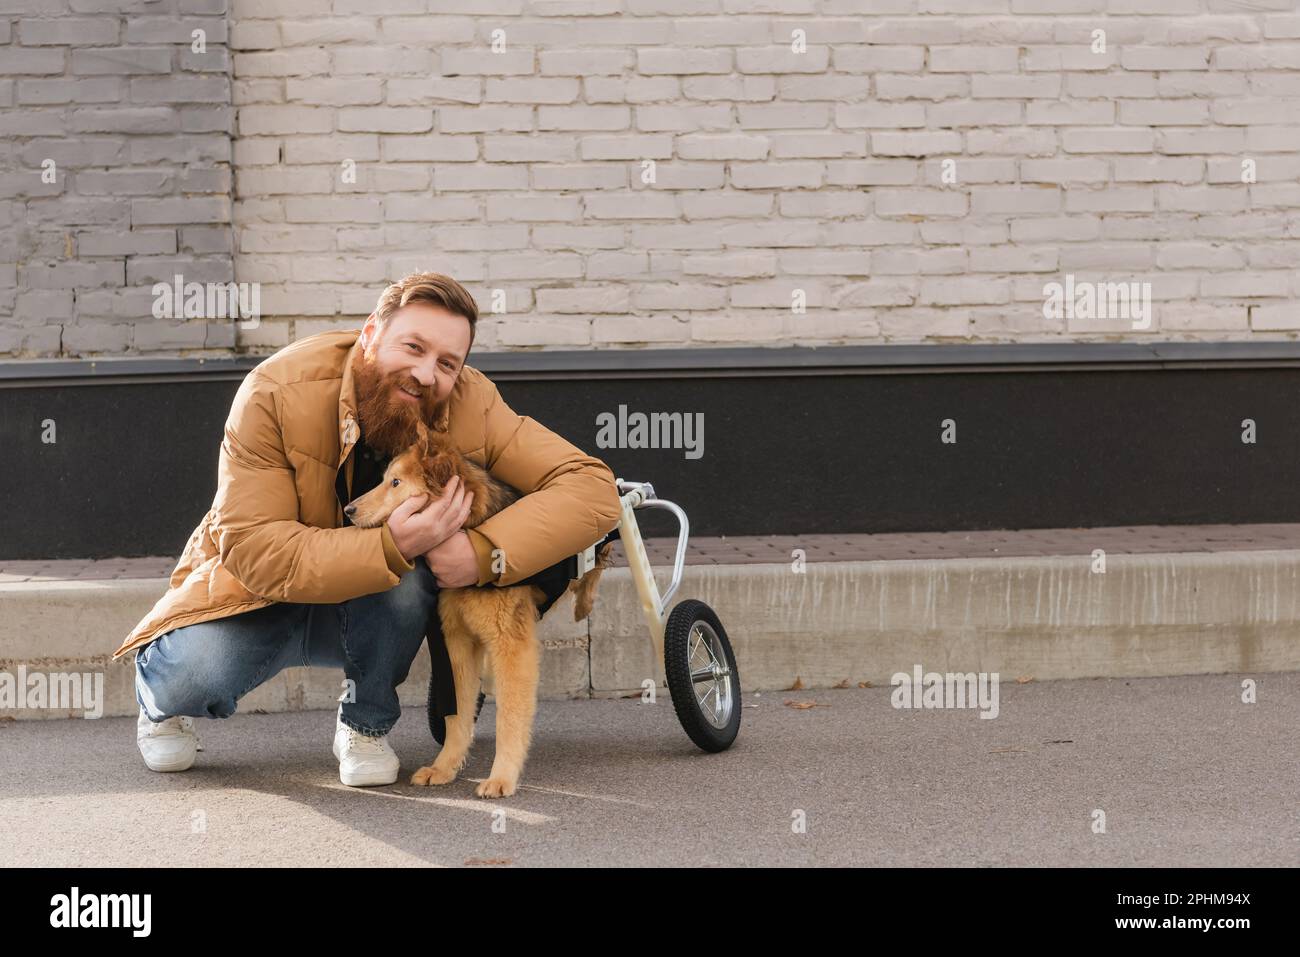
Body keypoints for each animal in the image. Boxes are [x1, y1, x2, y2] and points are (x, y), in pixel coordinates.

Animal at [343, 418, 611, 800]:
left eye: (395, 482)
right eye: (384, 479)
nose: (348, 510)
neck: (467, 532)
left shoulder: (512, 646)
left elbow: (510, 717)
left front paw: (502, 777)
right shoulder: (457, 642)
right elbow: (458, 714)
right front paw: (444, 767)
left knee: (597, 561)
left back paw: (584, 600)